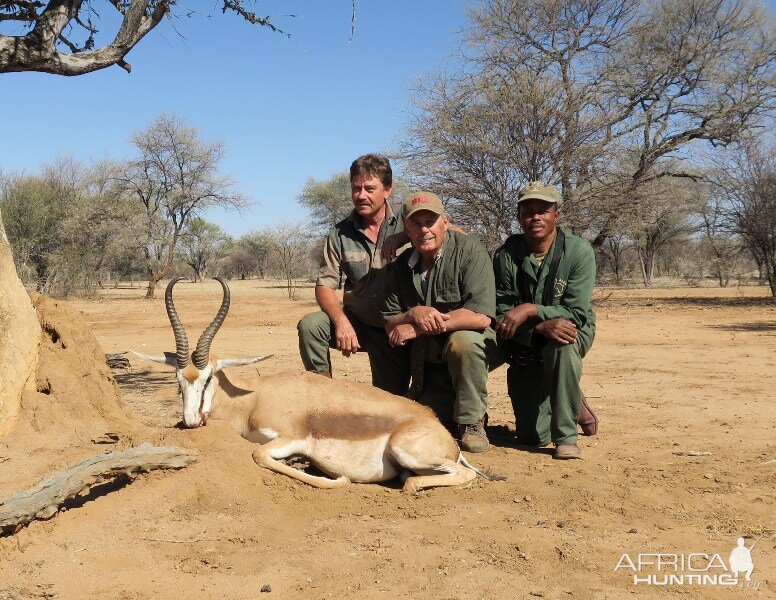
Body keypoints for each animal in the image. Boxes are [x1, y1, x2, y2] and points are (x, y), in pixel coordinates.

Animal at [133, 276, 500, 492]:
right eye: (177, 381)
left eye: (208, 377)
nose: (191, 421)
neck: (251, 399)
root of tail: (436, 425)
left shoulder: (289, 437)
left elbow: (259, 455)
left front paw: (337, 477)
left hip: (408, 451)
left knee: (459, 474)